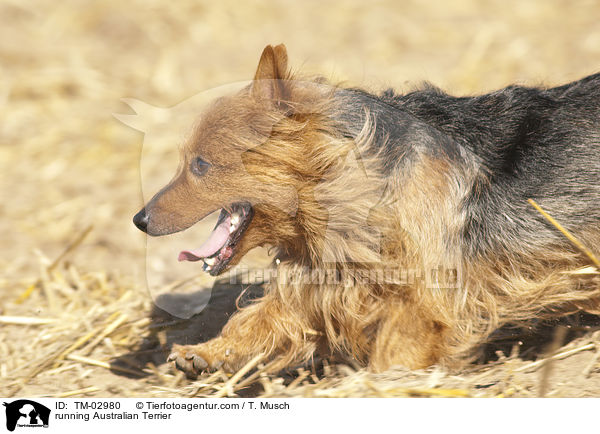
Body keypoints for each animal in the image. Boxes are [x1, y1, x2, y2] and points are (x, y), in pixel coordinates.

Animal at [132, 45, 600, 376]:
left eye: (201, 165)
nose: (138, 220)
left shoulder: (427, 296)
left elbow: (397, 349)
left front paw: (382, 383)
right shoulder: (328, 273)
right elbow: (265, 316)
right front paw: (210, 351)